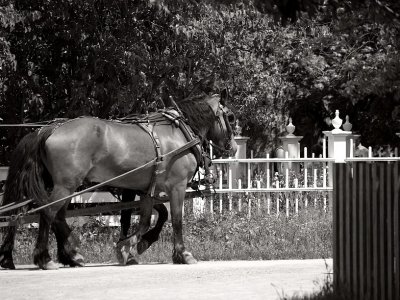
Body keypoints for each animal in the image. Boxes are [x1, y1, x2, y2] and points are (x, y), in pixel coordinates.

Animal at [0, 93, 238, 270]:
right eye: (231, 117)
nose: (234, 147)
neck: (179, 132)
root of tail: (51, 129)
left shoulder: (146, 189)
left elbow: (145, 219)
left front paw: (130, 247)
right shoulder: (176, 187)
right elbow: (176, 219)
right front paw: (183, 254)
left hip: (67, 186)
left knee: (57, 216)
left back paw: (71, 256)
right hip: (65, 185)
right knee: (48, 213)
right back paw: (45, 258)